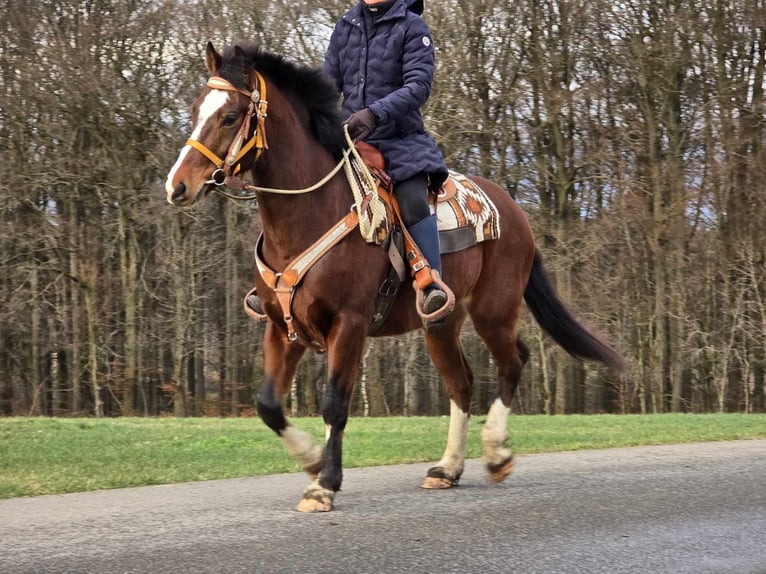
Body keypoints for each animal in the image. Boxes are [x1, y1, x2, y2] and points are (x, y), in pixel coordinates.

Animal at [166, 42, 624, 516]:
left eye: (230, 116)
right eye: (196, 109)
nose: (177, 186)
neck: (309, 214)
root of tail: (513, 208)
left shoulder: (348, 324)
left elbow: (335, 404)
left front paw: (324, 484)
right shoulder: (281, 328)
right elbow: (269, 406)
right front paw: (313, 461)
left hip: (493, 310)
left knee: (513, 362)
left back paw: (497, 454)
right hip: (440, 323)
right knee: (461, 383)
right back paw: (447, 468)